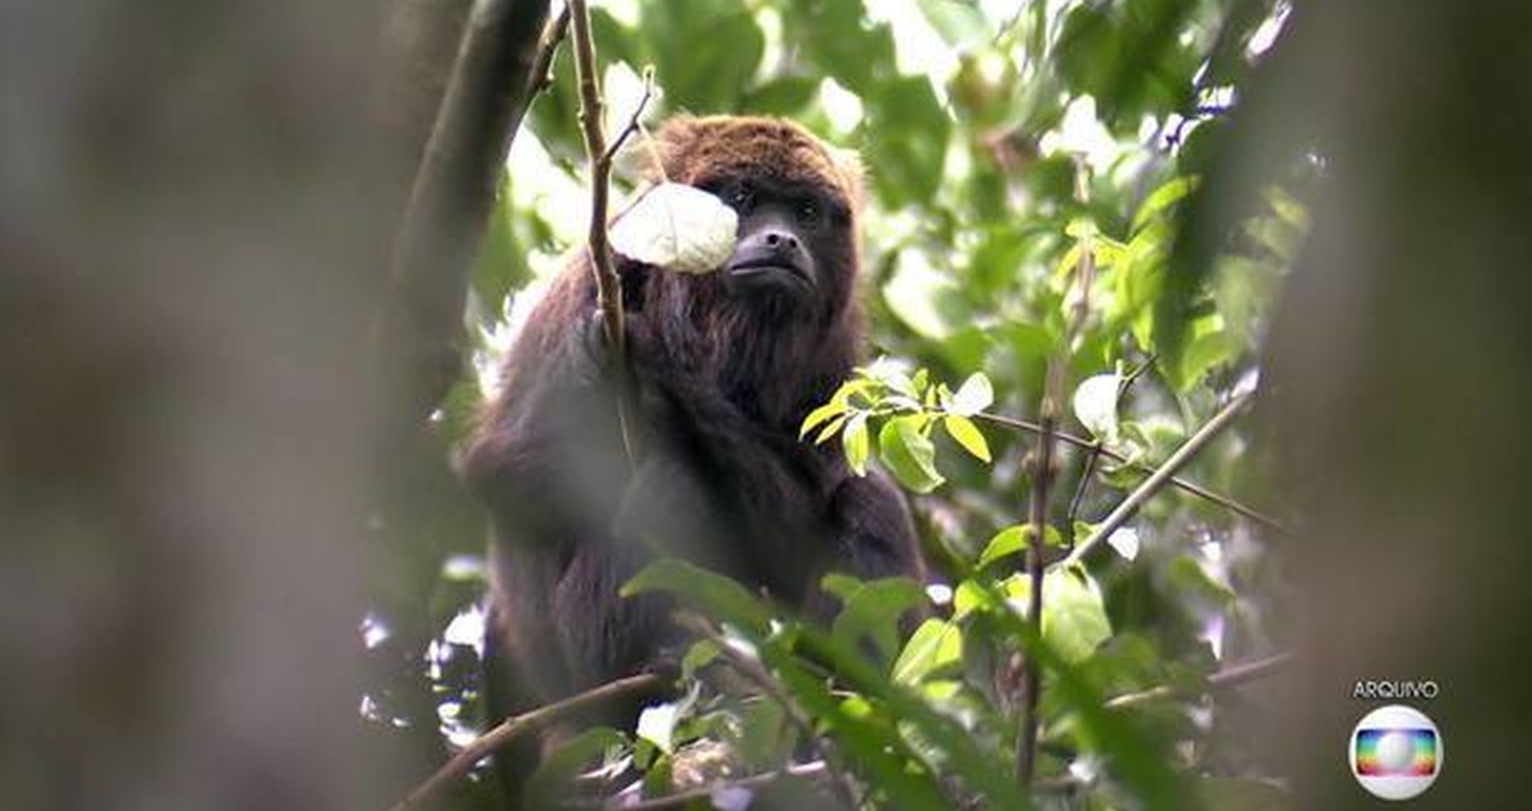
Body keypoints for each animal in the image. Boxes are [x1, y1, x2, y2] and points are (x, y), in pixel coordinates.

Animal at [460, 115, 926, 801]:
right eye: (740, 197)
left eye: (807, 211)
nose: (781, 239)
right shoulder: (593, 280)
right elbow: (504, 470)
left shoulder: (835, 349)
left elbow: (811, 498)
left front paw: (655, 371)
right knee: (672, 482)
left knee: (871, 497)